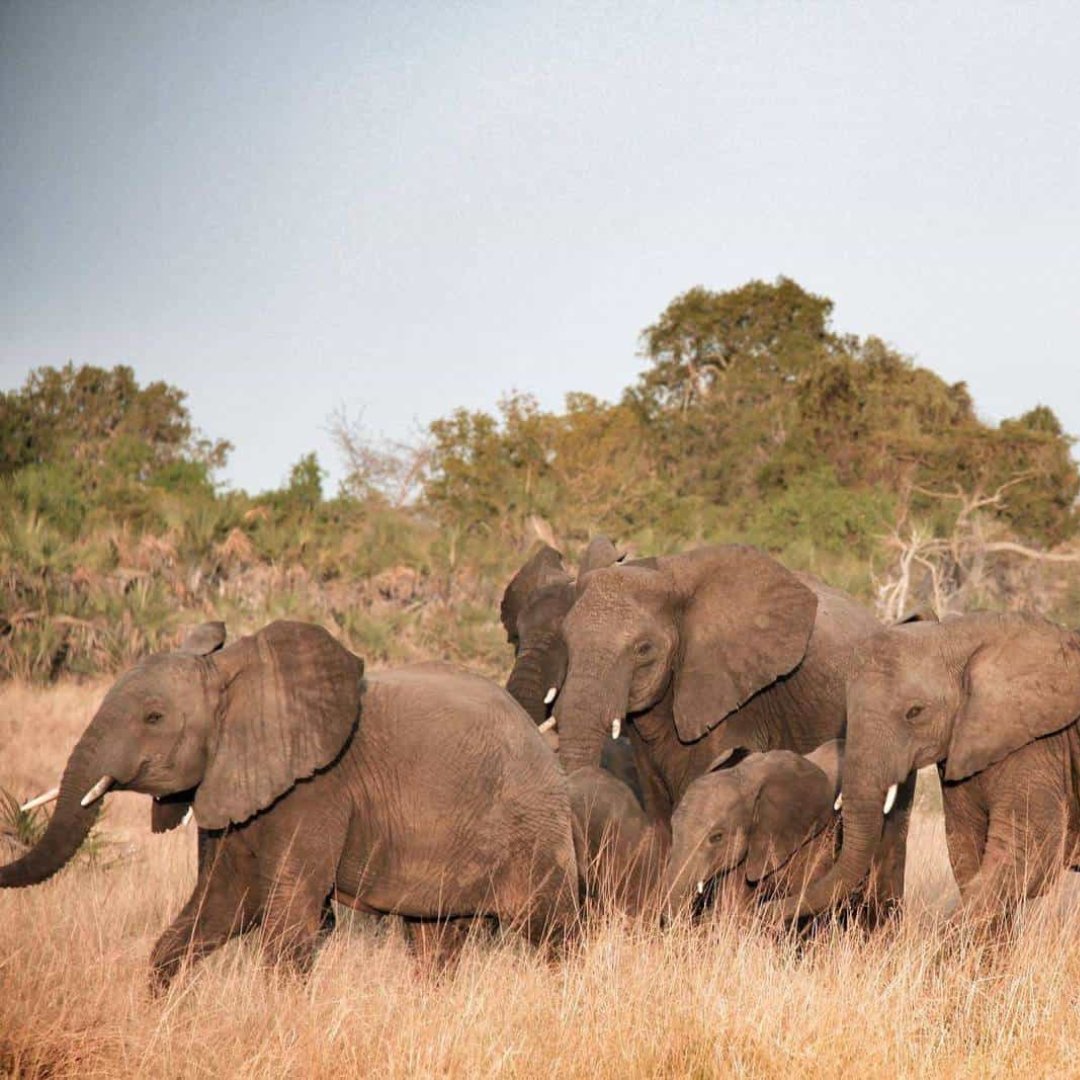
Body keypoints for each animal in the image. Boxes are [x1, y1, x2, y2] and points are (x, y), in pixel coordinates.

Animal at [0, 621, 579, 990]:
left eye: (154, 718)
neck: (240, 678)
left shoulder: (316, 791)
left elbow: (286, 922)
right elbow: (221, 905)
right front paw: (160, 1013)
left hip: (532, 824)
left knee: (550, 932)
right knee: (434, 938)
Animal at [780, 610, 1080, 925]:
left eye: (915, 713)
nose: (768, 909)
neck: (959, 636)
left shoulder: (1039, 743)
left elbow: (1027, 853)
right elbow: (965, 848)